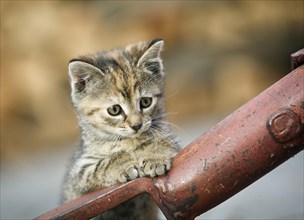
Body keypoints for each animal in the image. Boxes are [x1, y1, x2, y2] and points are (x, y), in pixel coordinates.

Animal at [63, 38, 179, 219]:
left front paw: (155, 156)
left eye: (145, 102)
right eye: (114, 110)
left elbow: (163, 141)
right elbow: (103, 163)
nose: (136, 125)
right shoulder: (77, 177)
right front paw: (125, 164)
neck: (129, 141)